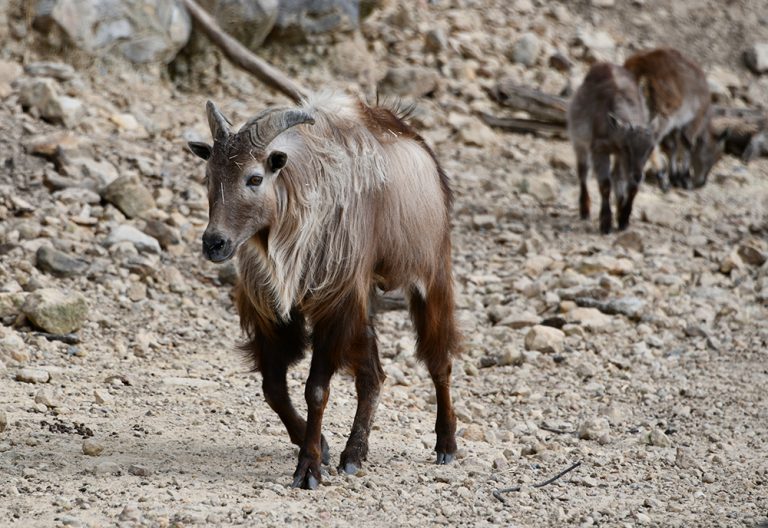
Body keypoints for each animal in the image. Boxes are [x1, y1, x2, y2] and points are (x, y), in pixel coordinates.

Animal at [187, 91, 462, 490]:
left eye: (254, 178)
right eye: (209, 176)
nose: (214, 244)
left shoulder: (333, 304)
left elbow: (315, 390)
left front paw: (309, 468)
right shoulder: (275, 311)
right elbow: (273, 388)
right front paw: (322, 447)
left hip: (429, 277)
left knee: (439, 361)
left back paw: (446, 443)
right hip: (364, 301)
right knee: (373, 376)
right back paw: (354, 454)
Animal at [568, 62, 656, 233]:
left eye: (650, 150)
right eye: (627, 147)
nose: (638, 175)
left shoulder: (622, 157)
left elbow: (631, 186)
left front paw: (623, 219)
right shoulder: (599, 149)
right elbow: (604, 184)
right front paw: (606, 222)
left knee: (616, 175)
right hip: (578, 139)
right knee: (583, 172)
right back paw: (584, 209)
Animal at [624, 48, 728, 190]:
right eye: (715, 156)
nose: (702, 183)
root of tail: (642, 67)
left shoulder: (676, 126)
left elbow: (671, 146)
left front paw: (675, 176)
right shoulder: (692, 121)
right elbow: (687, 145)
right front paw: (683, 178)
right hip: (663, 114)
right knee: (651, 138)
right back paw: (661, 177)